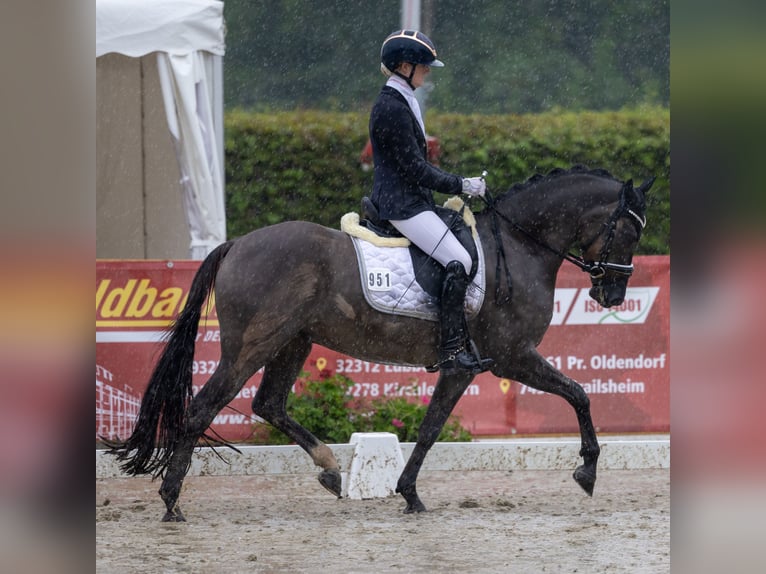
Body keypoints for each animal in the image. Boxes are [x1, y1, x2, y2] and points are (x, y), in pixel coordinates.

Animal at [103, 165, 656, 520]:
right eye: (629, 231)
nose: (613, 294)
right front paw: (587, 471)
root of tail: (237, 243)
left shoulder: (470, 367)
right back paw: (172, 501)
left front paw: (407, 493)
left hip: (293, 342)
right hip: (251, 347)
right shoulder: (507, 359)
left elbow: (431, 427)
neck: (519, 246)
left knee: (269, 403)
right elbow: (577, 394)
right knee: (203, 408)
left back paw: (329, 470)